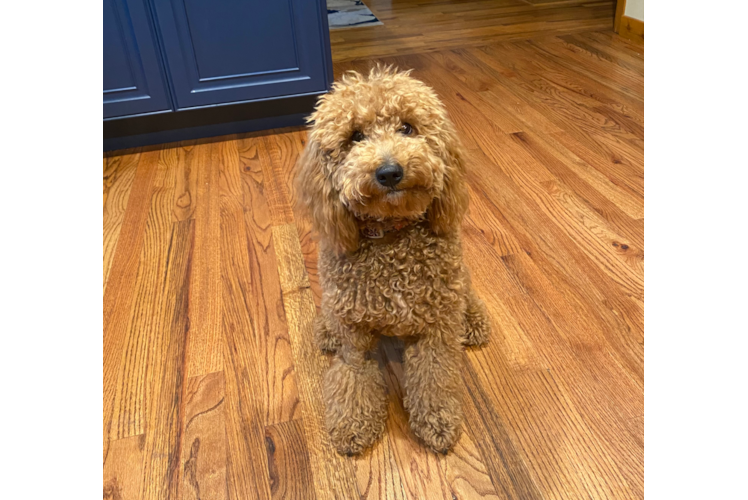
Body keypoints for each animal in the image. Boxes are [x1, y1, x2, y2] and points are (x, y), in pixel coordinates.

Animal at [296, 66, 494, 458]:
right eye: (355, 137)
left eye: (407, 128)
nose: (389, 172)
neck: (391, 238)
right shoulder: (355, 339)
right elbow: (352, 376)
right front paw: (352, 425)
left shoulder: (435, 330)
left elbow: (435, 377)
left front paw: (438, 421)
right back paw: (326, 329)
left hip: (455, 284)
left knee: (465, 290)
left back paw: (473, 320)